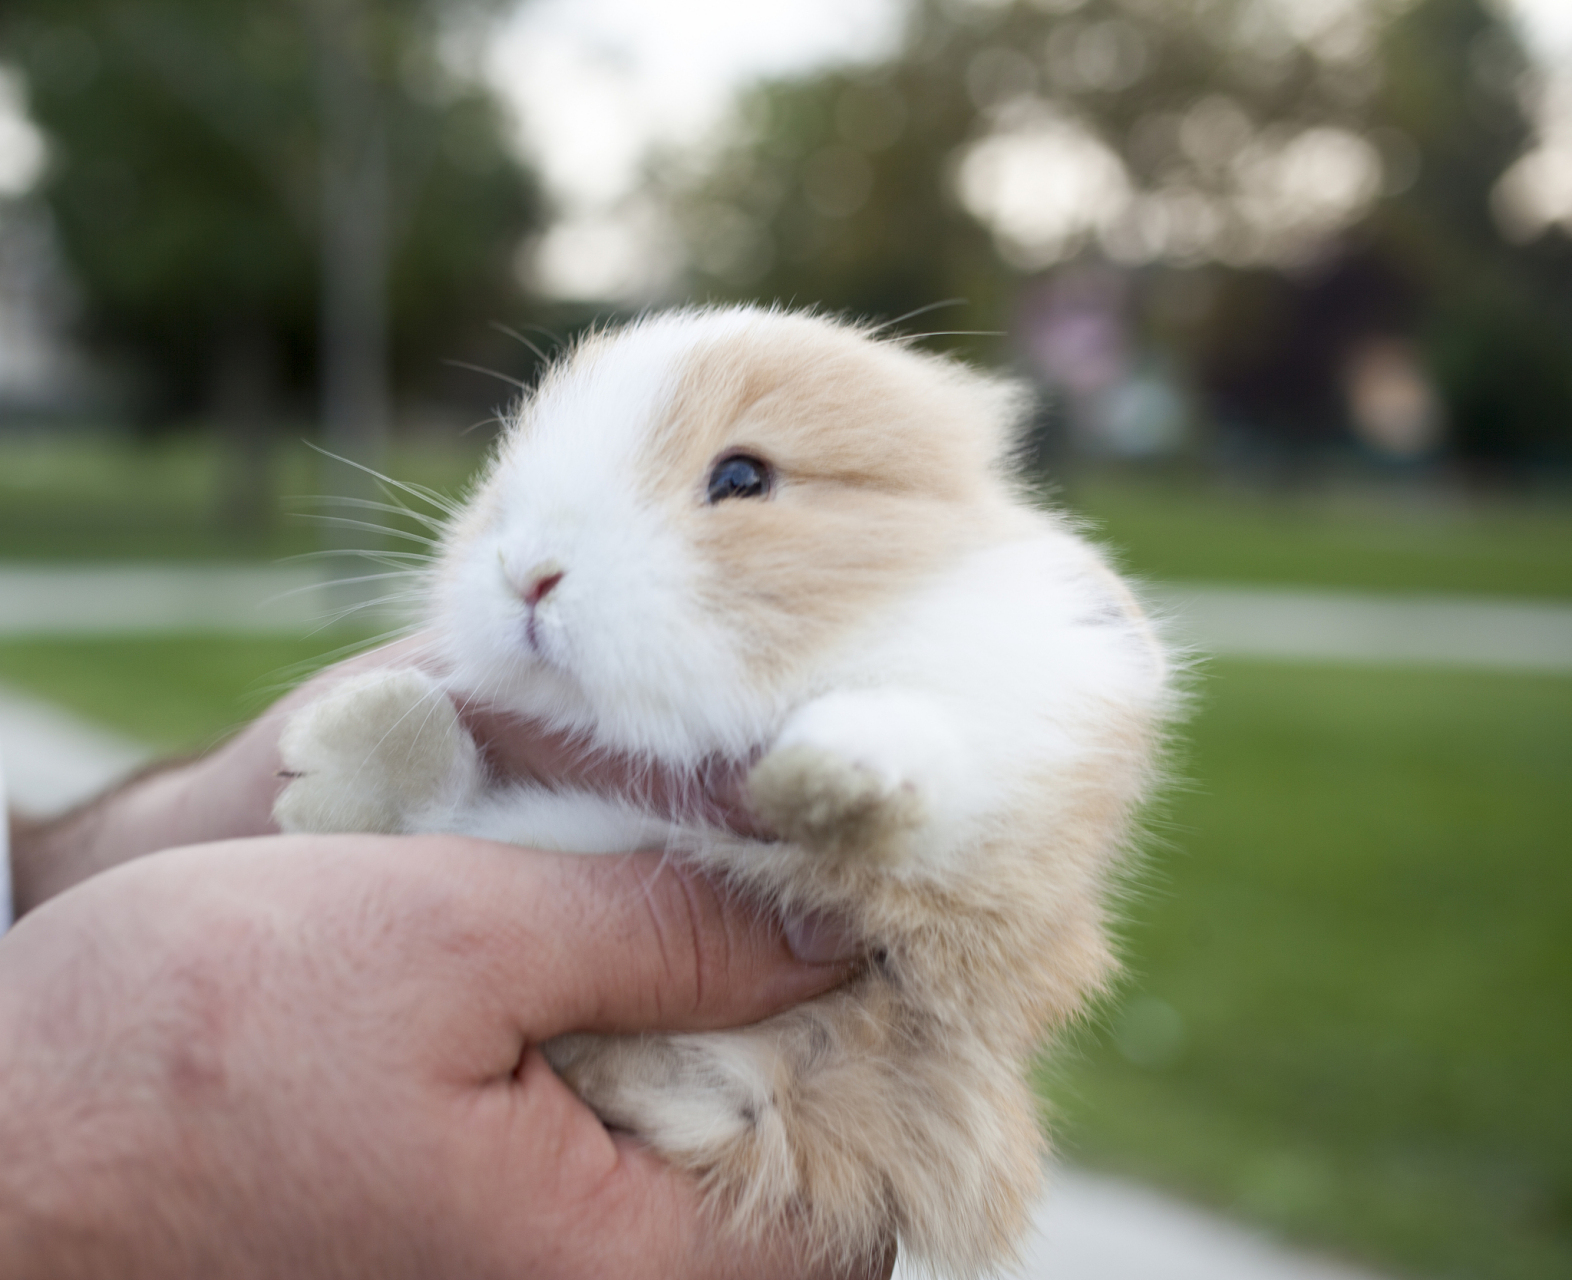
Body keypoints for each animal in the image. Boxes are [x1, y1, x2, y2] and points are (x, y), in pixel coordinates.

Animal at [276, 305, 1175, 1276]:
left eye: (743, 478)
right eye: (503, 478)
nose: (529, 575)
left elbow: (922, 754)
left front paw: (829, 782)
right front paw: (327, 756)